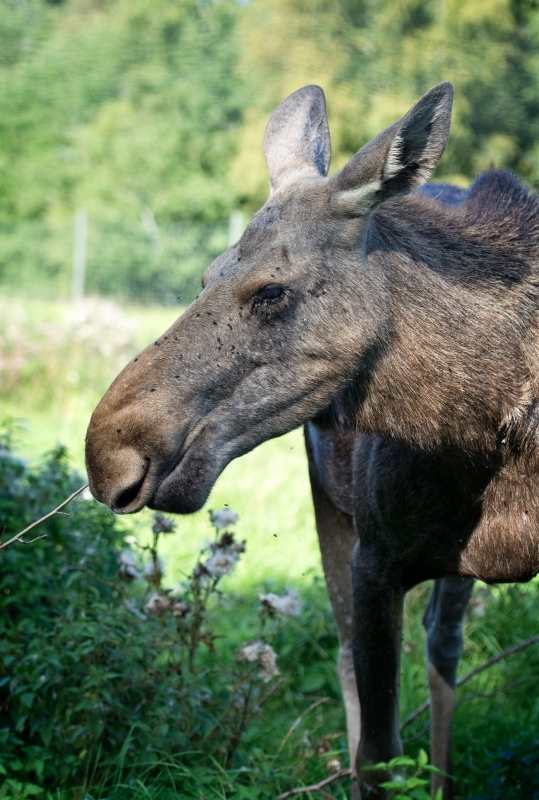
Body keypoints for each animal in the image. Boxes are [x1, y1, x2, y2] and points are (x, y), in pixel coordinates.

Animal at [85, 84, 539, 796]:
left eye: (271, 291)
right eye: (206, 277)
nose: (108, 453)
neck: (498, 420)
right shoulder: (377, 558)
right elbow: (377, 751)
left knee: (443, 644)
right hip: (331, 504)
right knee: (355, 657)